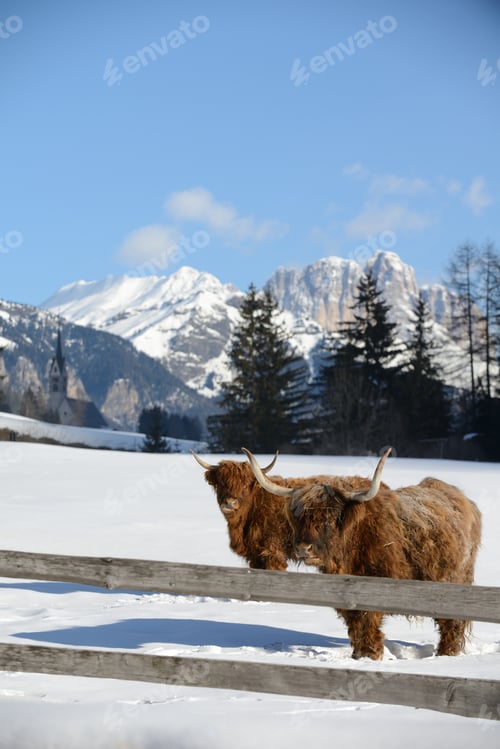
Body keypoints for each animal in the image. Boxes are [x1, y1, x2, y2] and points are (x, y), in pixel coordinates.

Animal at [242, 447, 482, 660]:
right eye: (299, 517)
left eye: (329, 518)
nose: (304, 548)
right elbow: (356, 624)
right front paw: (359, 655)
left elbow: (368, 622)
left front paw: (370, 654)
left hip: (454, 581)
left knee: (451, 624)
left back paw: (446, 655)